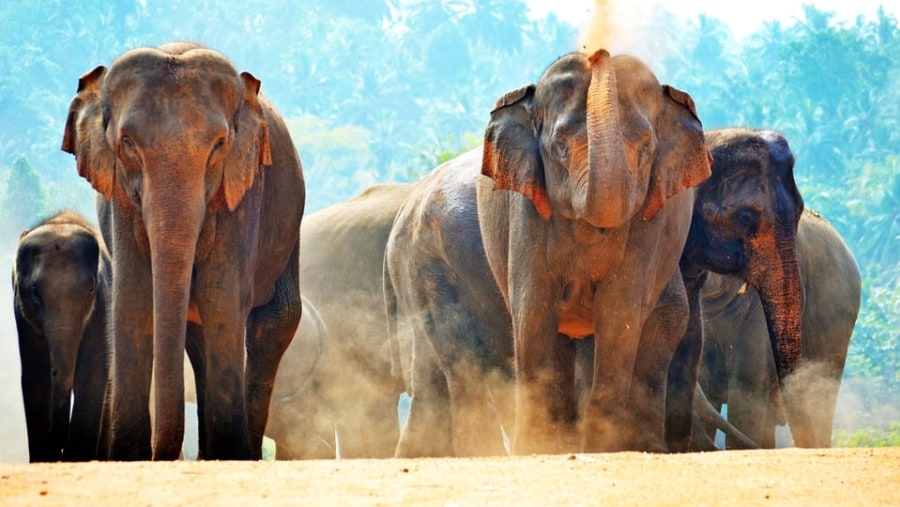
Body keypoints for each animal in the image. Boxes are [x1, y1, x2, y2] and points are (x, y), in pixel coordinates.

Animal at [12, 210, 111, 460]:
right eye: (34, 291)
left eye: (91, 289)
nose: (59, 441)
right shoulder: (23, 316)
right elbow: (35, 378)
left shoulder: (102, 308)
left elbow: (91, 377)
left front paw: (77, 458)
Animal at [61, 42, 306, 460]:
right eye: (127, 143)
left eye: (219, 145)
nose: (161, 455)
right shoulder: (120, 199)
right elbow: (134, 299)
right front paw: (128, 457)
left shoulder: (243, 192)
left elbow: (221, 296)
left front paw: (231, 454)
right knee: (197, 334)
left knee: (273, 320)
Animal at [384, 50, 712, 456]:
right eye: (559, 147)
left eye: (646, 150)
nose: (597, 51)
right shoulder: (524, 210)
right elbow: (534, 308)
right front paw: (537, 445)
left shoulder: (652, 218)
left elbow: (620, 311)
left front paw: (602, 446)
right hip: (429, 263)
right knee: (460, 356)